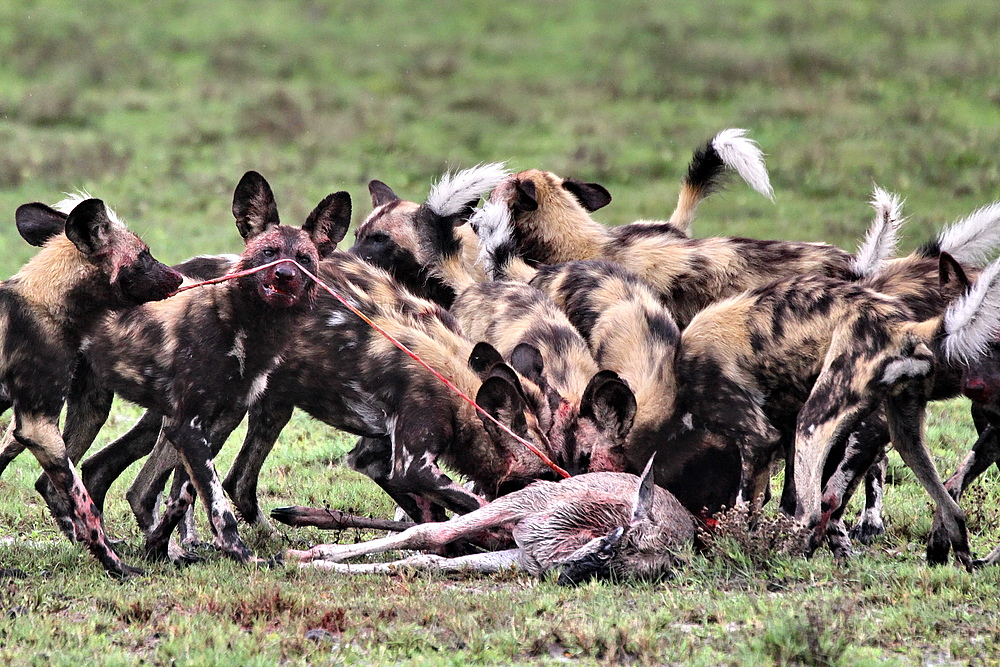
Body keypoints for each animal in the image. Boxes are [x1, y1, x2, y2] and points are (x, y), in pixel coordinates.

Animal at [0, 196, 182, 576]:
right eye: (143, 256)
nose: (178, 277)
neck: (47, 302)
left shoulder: (24, 423)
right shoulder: (38, 426)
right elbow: (86, 507)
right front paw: (118, 568)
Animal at [286, 460, 696, 584]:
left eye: (614, 569)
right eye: (619, 542)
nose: (566, 573)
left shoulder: (524, 557)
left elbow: (427, 559)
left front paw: (318, 562)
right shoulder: (526, 501)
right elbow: (430, 531)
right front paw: (308, 556)